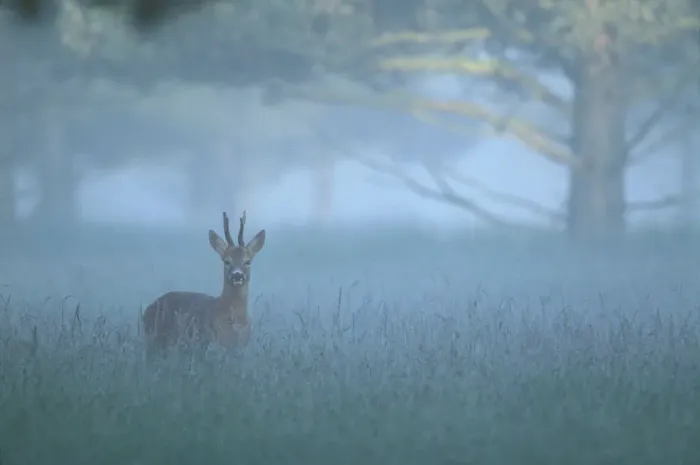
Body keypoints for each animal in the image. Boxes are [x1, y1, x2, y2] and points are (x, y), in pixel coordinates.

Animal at [142, 210, 265, 361]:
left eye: (247, 261)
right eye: (226, 261)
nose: (237, 275)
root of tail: (148, 309)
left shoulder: (239, 348)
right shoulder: (210, 341)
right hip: (156, 340)